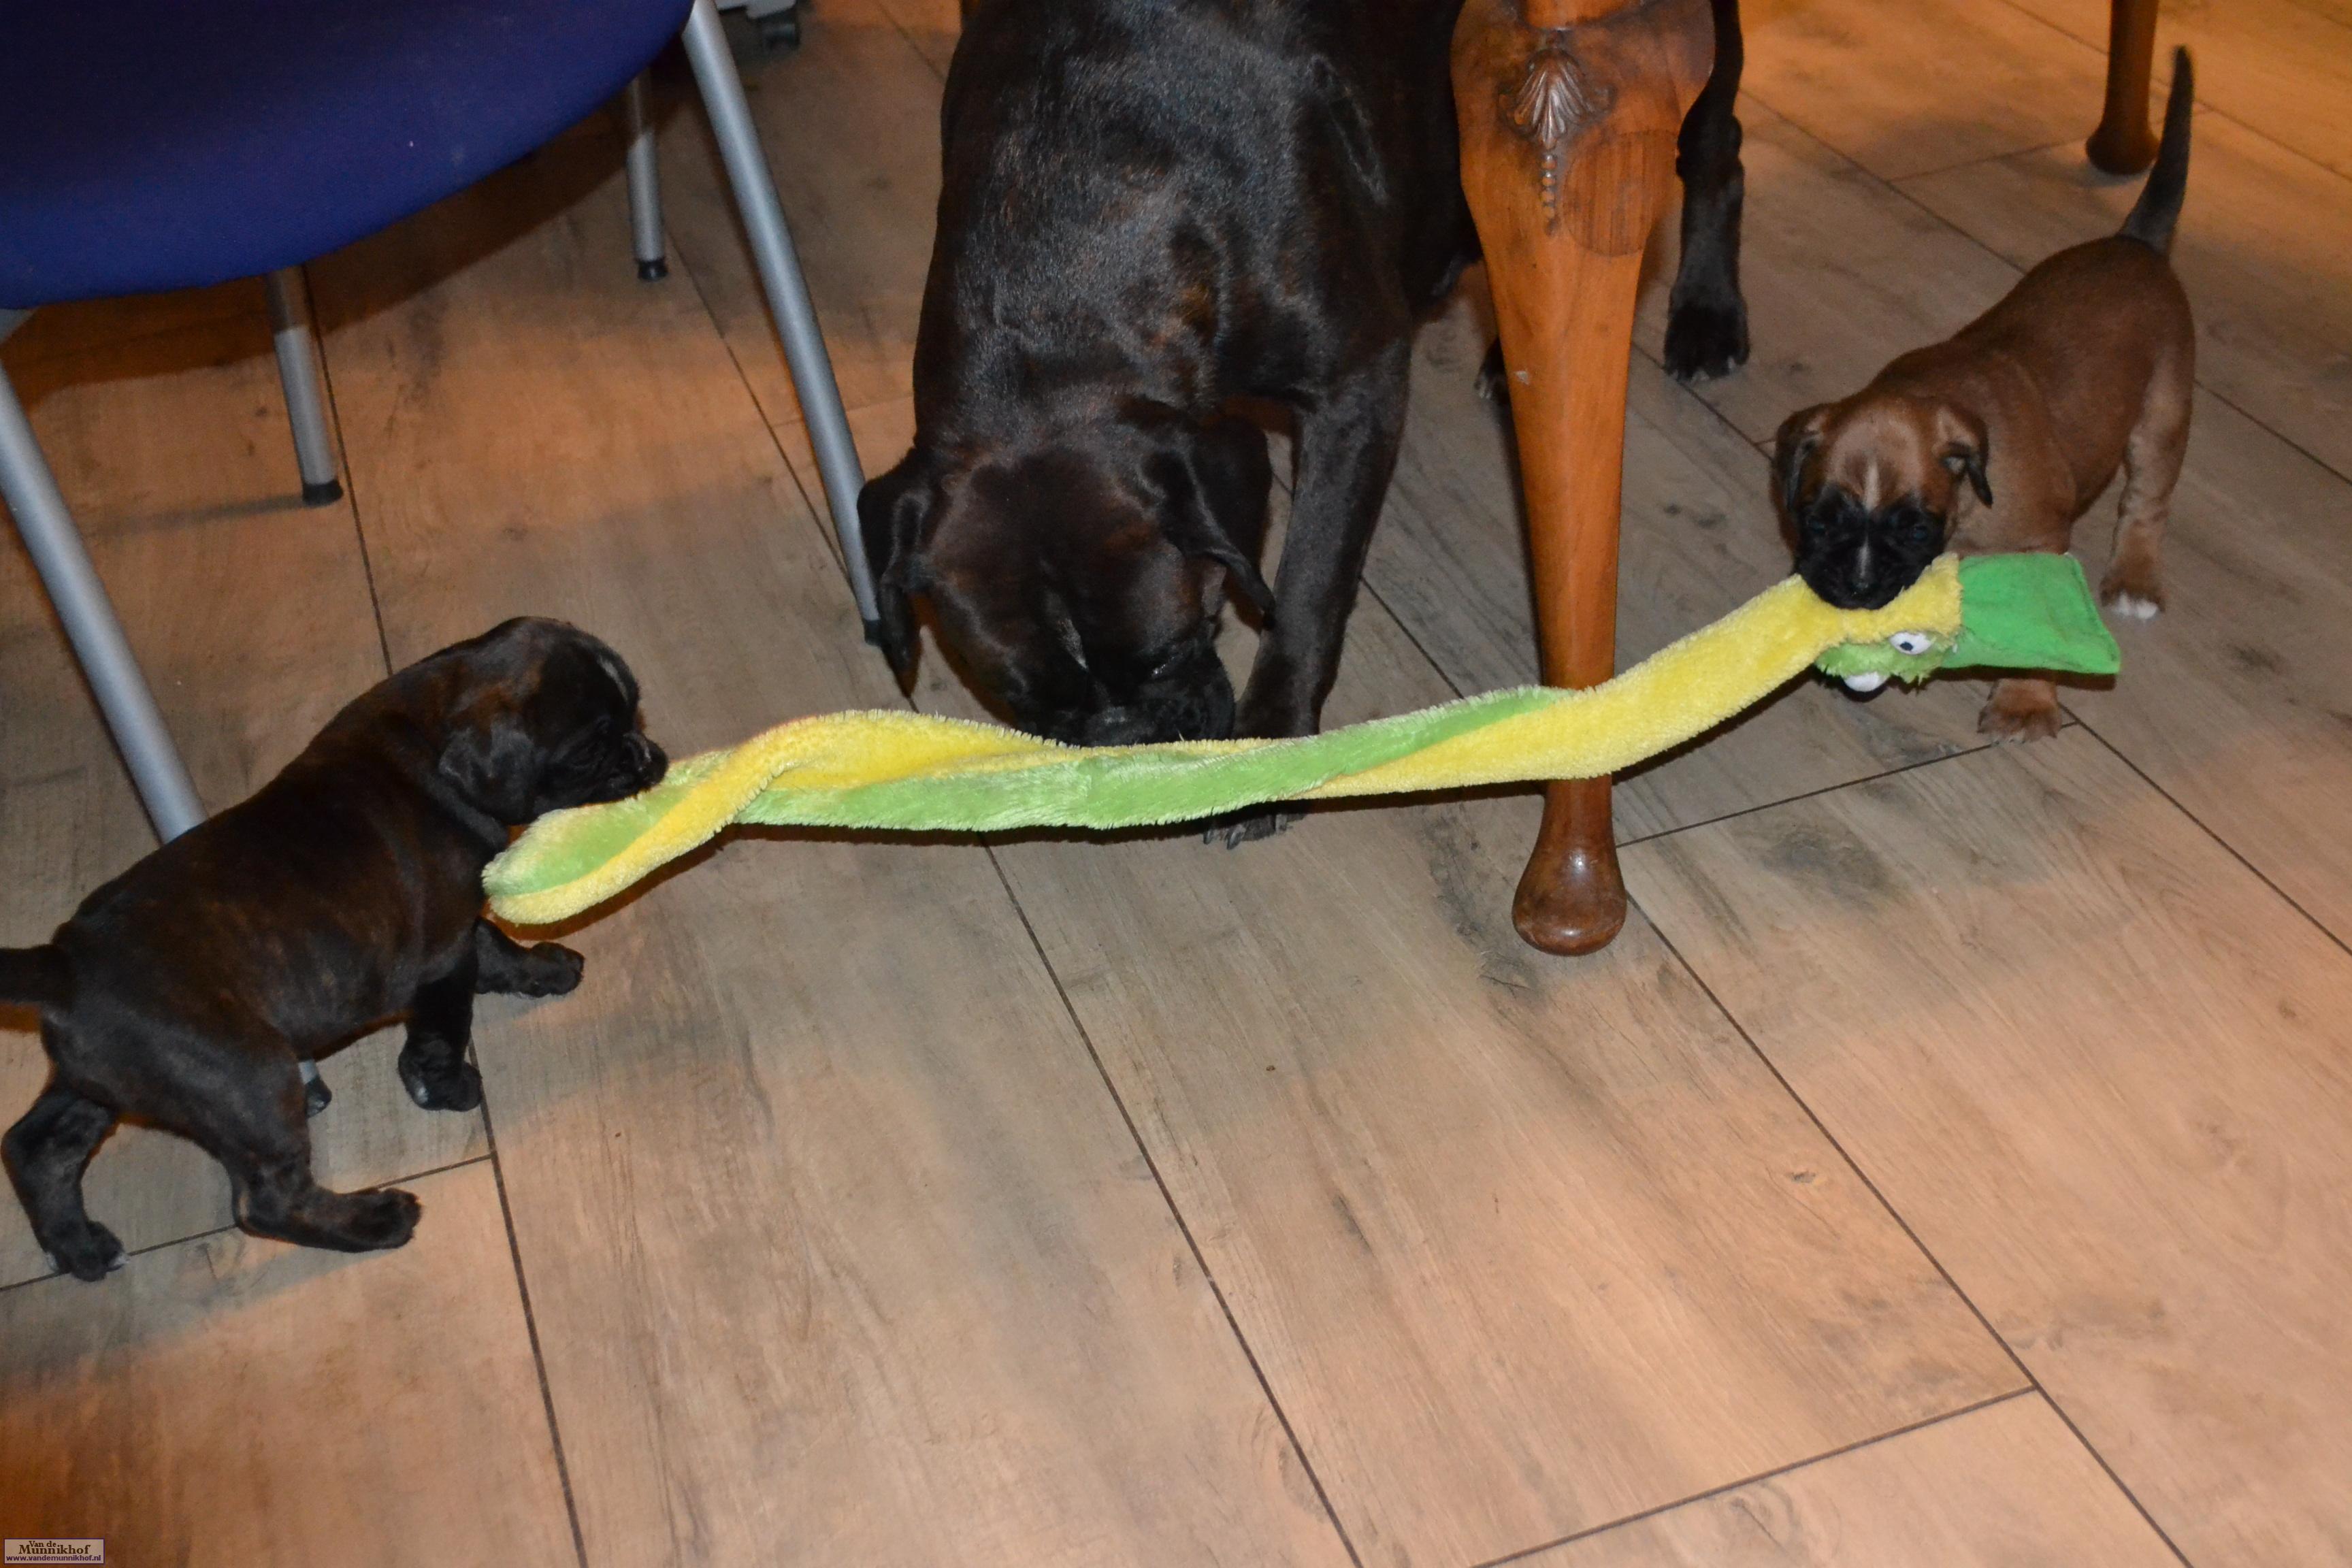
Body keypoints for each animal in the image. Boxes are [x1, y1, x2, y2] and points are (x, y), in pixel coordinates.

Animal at [0, 618, 665, 1280]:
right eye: (587, 750)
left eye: (634, 714)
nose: (650, 758)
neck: (428, 729)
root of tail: (63, 965)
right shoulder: (441, 956)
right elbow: (445, 1028)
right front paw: (446, 1089)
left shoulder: (457, 929)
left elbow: (496, 946)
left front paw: (545, 968)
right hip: (253, 1082)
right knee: (267, 1202)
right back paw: (376, 1220)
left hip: (103, 1084)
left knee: (37, 1147)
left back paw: (80, 1248)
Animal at [861, 0, 1754, 762]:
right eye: (1024, 699)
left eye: (1165, 657)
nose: (1123, 739)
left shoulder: (1354, 394)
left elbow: (1310, 581)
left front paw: (1273, 731)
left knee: (1716, 158)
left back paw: (1707, 313)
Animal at [1774, 52, 2195, 742]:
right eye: (1817, 521)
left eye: (1916, 527)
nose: (1857, 588)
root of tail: (2134, 242)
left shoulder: (2039, 546)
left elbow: (2042, 631)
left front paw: (2024, 702)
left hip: (2163, 417)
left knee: (2146, 504)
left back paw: (2134, 578)